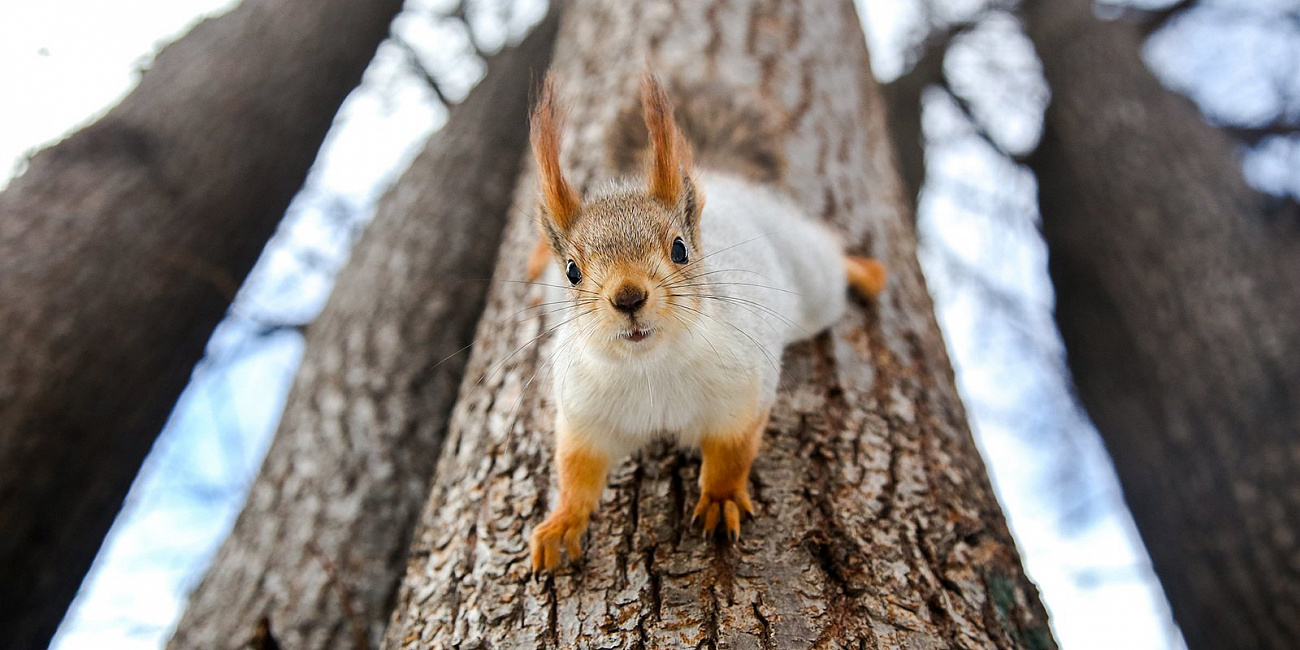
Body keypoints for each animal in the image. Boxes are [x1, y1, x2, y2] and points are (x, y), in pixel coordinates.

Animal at [525, 71, 883, 572]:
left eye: (680, 249)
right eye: (573, 272)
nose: (628, 297)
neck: (650, 368)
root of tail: (722, 179)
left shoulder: (744, 388)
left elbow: (732, 451)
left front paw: (720, 498)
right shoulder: (583, 414)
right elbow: (577, 472)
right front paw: (561, 523)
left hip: (814, 283)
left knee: (831, 255)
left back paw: (868, 273)